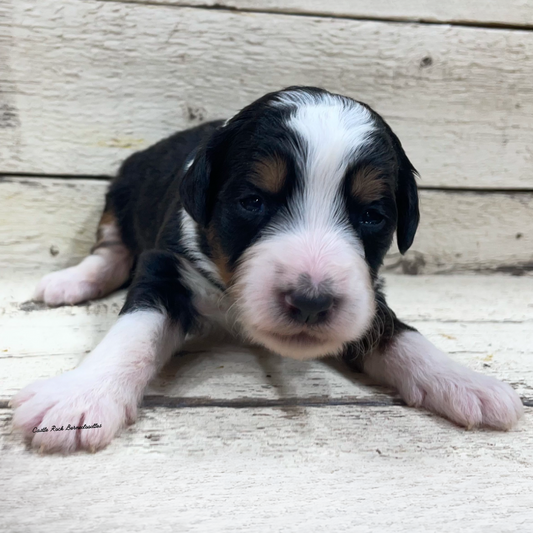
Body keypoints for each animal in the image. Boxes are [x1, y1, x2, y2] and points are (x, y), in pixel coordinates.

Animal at [10, 88, 520, 454]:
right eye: (252, 202)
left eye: (372, 215)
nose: (311, 303)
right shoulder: (166, 264)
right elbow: (134, 329)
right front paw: (82, 396)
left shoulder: (365, 293)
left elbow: (400, 333)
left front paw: (464, 381)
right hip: (121, 191)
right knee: (110, 250)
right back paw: (70, 282)